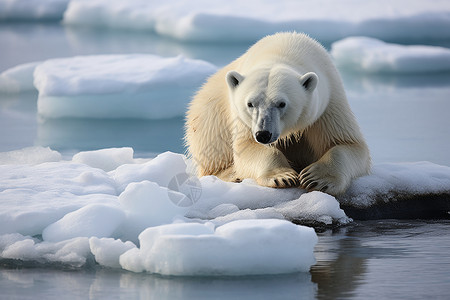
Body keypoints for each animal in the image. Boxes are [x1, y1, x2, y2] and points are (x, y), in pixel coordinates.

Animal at [185, 31, 370, 196]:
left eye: (281, 104)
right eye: (250, 104)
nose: (263, 134)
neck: (282, 50)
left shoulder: (329, 102)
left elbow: (347, 144)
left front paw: (316, 178)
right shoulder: (243, 121)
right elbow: (247, 146)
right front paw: (282, 176)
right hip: (210, 114)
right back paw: (232, 174)